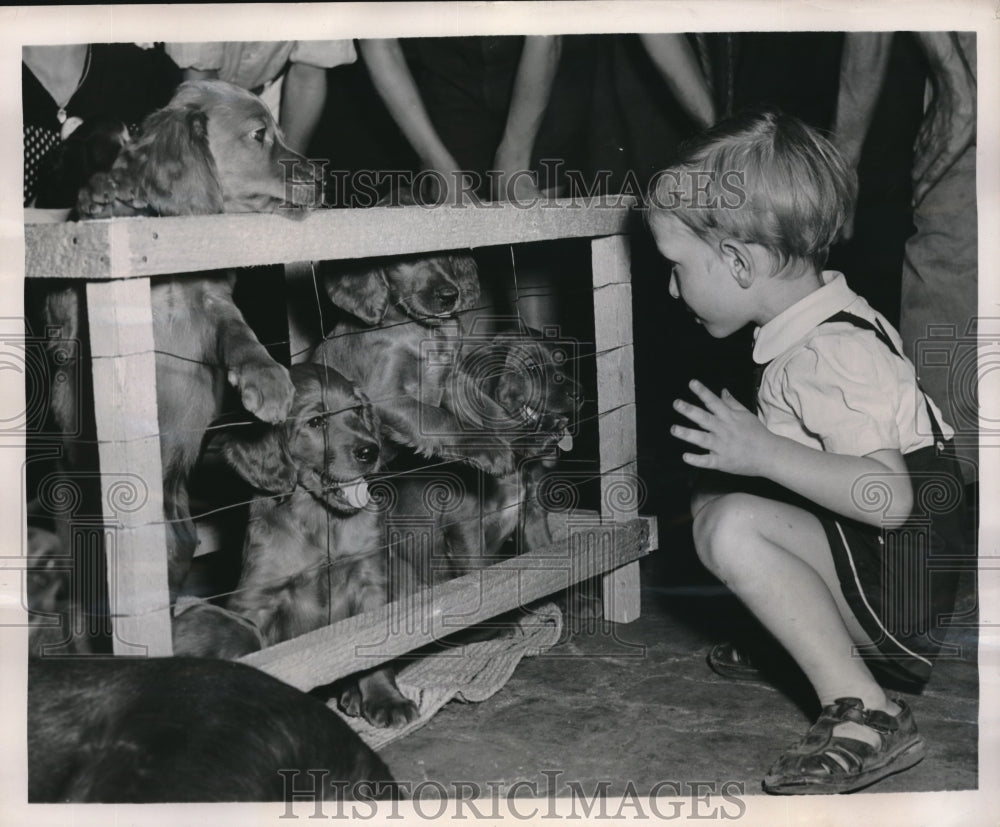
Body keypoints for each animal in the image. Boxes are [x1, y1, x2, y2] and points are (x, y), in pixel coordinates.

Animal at [179, 366, 414, 728]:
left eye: (357, 410)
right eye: (316, 422)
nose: (370, 451)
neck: (321, 520)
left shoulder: (370, 580)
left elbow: (377, 646)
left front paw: (386, 698)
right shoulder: (256, 599)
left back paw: (351, 694)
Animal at [312, 251, 516, 478]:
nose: (449, 296)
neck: (422, 330)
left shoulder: (451, 376)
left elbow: (483, 404)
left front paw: (516, 429)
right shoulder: (385, 396)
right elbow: (440, 418)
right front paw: (488, 446)